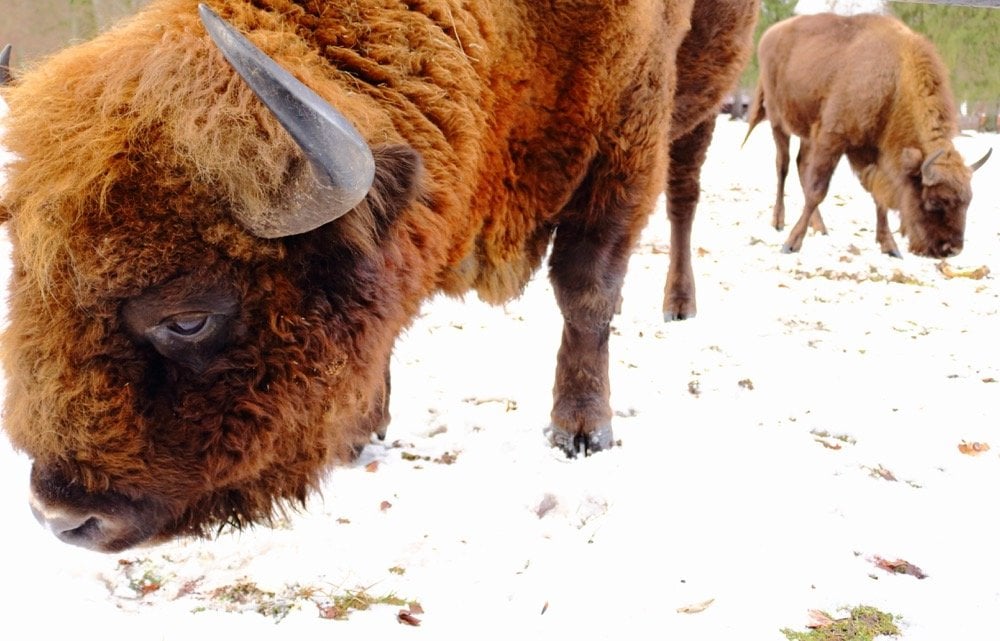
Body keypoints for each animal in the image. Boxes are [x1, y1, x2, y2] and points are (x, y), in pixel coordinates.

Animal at [1, 0, 704, 552]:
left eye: (188, 319)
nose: (60, 517)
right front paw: (360, 432)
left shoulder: (627, 137)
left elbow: (585, 291)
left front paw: (581, 433)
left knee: (683, 196)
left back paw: (679, 307)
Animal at [748, 12, 988, 258]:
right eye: (935, 201)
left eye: (967, 202)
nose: (952, 249)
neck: (894, 80)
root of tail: (769, 34)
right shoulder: (832, 139)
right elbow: (818, 191)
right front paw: (791, 243)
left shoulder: (871, 152)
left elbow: (878, 195)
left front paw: (890, 246)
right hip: (778, 122)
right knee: (783, 166)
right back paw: (779, 221)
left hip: (806, 134)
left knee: (800, 164)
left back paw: (820, 226)